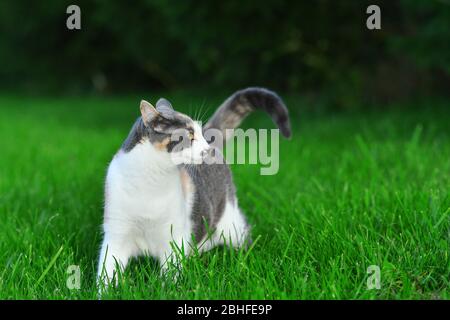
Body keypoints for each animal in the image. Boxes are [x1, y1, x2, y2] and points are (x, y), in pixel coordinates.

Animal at [96, 87, 290, 288]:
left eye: (199, 133)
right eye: (189, 136)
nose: (207, 149)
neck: (150, 182)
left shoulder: (172, 239)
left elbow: (170, 275)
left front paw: (168, 289)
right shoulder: (116, 234)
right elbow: (106, 271)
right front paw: (105, 290)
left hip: (231, 225)